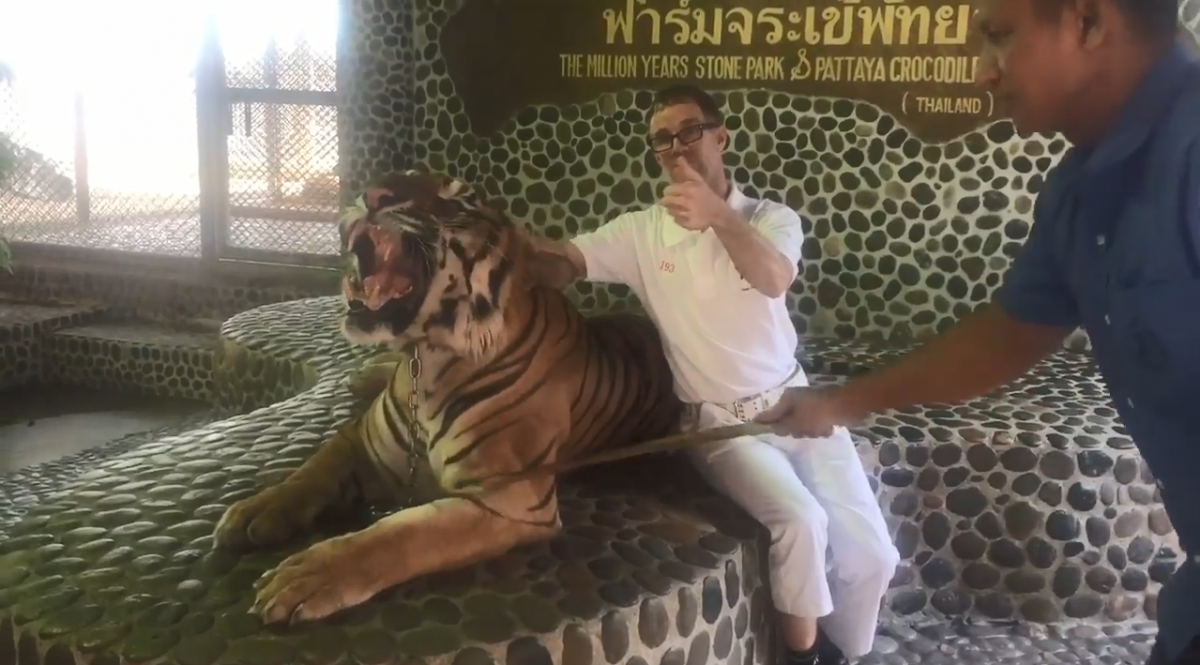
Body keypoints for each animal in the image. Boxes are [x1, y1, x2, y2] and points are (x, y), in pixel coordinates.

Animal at [212, 169, 683, 625]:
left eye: (460, 199)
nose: (374, 194)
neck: (427, 364)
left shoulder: (509, 499)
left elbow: (401, 535)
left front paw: (309, 575)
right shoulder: (362, 441)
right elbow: (312, 470)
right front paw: (255, 511)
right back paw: (367, 373)